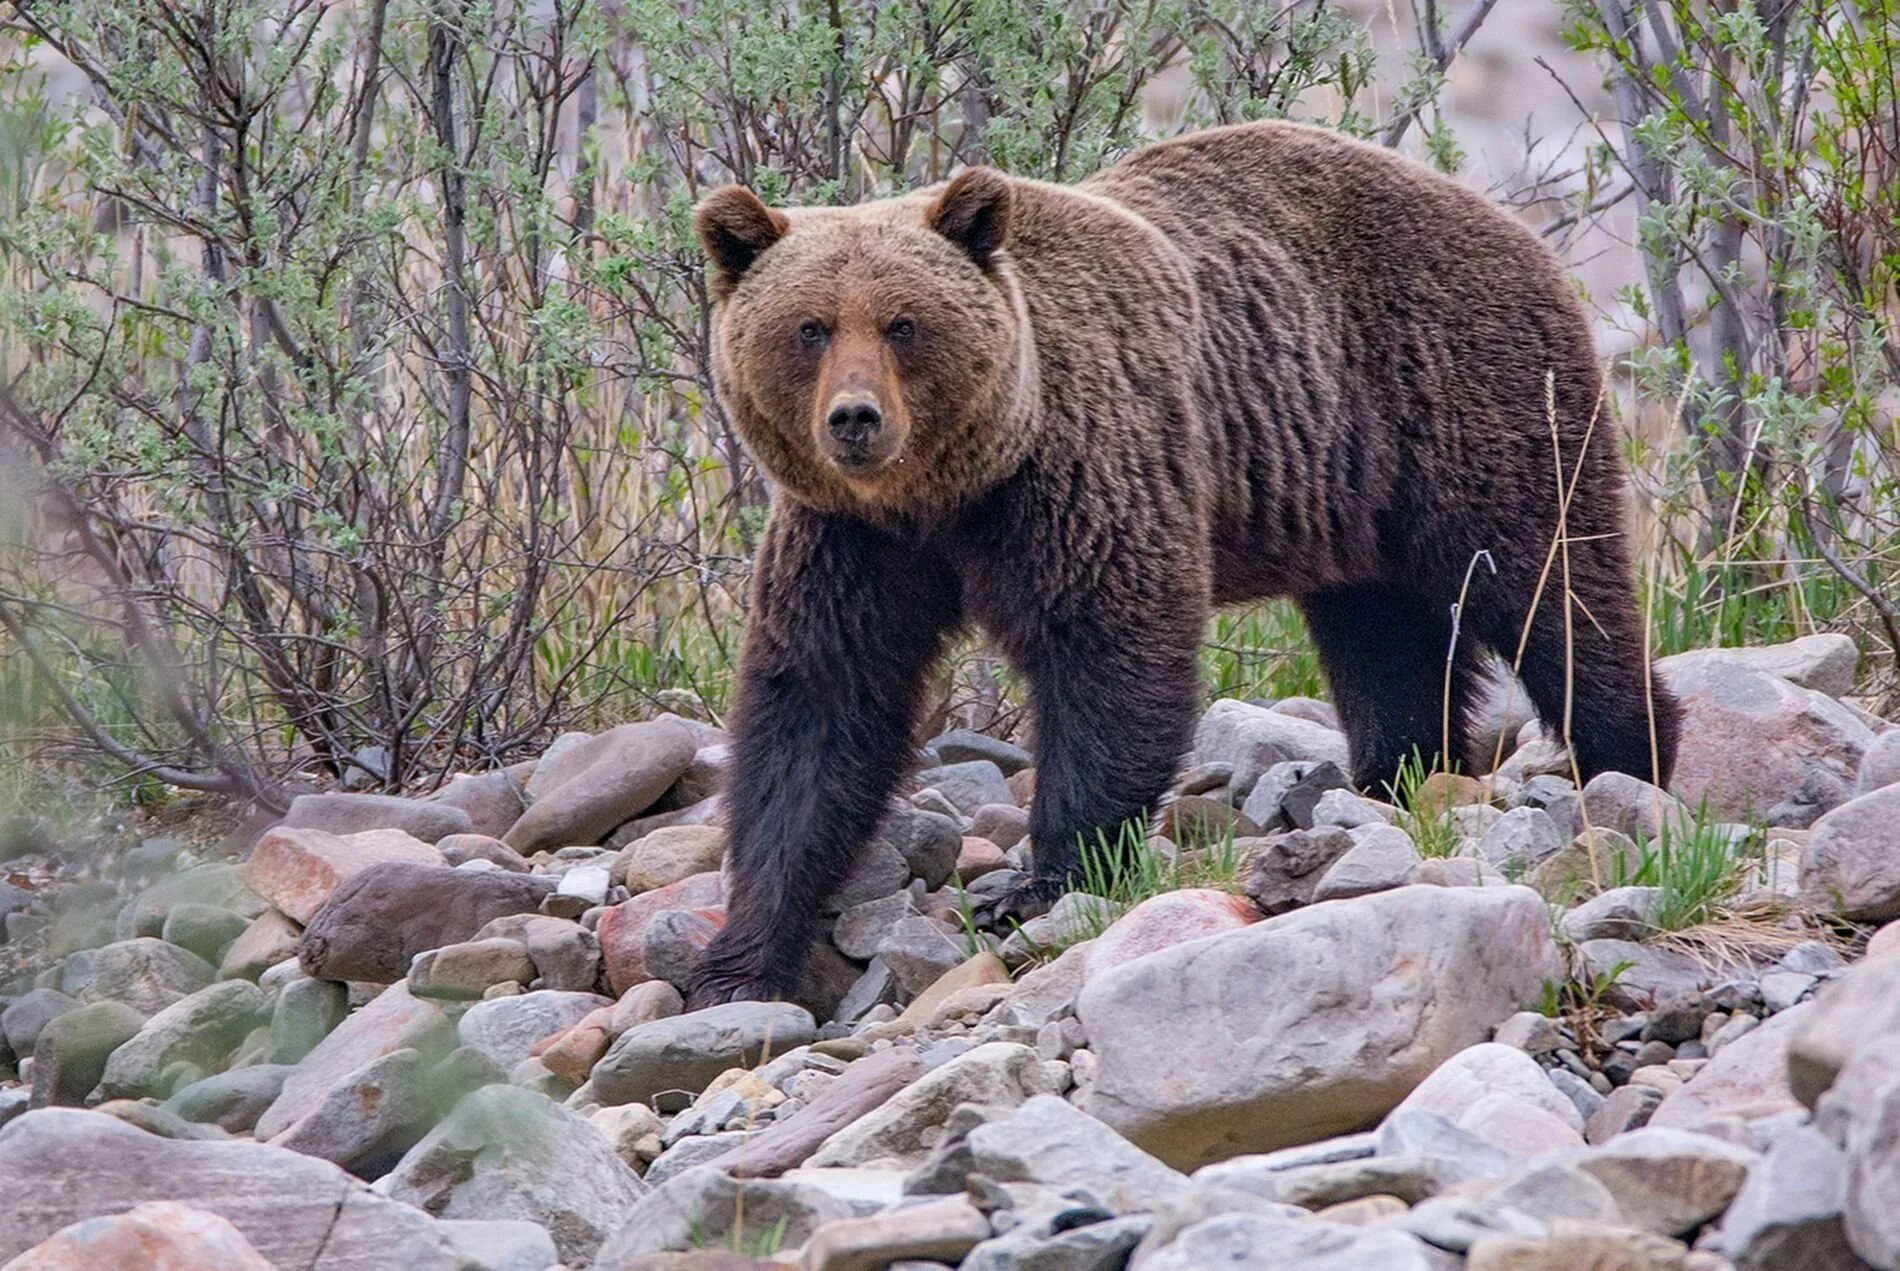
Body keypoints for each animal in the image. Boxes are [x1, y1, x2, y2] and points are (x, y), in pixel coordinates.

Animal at [684, 123, 1679, 1003]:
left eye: (903, 323)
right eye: (810, 327)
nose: (856, 417)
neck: (948, 490)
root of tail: (1506, 219)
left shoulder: (1082, 470)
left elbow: (1112, 655)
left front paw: (1041, 882)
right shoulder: (851, 539)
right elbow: (818, 707)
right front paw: (740, 955)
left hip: (1466, 397)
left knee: (1548, 586)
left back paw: (1630, 756)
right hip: (1355, 493)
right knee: (1384, 635)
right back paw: (1395, 773)